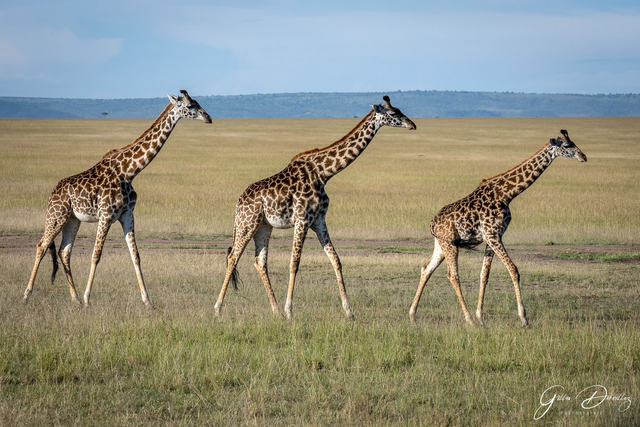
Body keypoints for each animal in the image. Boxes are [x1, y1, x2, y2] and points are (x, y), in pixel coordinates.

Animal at [23, 90, 212, 307]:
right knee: (42, 246)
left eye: (197, 102)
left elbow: (135, 256)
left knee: (64, 251)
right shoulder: (106, 215)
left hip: (73, 219)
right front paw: (88, 299)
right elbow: (96, 255)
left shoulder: (127, 214)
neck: (129, 171)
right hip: (57, 216)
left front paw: (148, 301)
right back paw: (27, 295)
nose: (208, 118)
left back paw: (75, 298)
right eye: (189, 106)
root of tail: (53, 192)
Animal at [214, 96, 416, 320]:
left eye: (399, 109)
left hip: (263, 226)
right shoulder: (302, 220)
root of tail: (238, 202)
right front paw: (289, 311)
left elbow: (336, 260)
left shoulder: (319, 220)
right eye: (394, 113)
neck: (323, 173)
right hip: (247, 224)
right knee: (233, 257)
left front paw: (349, 311)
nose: (412, 124)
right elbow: (294, 263)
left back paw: (274, 310)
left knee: (259, 261)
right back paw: (218, 308)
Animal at [409, 130, 587, 326]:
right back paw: (468, 319)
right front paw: (523, 318)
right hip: (450, 244)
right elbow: (513, 270)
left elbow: (484, 275)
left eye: (574, 142)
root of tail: (432, 223)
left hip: (441, 244)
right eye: (567, 146)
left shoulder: (493, 237)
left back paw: (413, 314)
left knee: (426, 269)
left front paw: (481, 316)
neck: (506, 194)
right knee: (453, 275)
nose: (583, 157)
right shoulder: (493, 235)